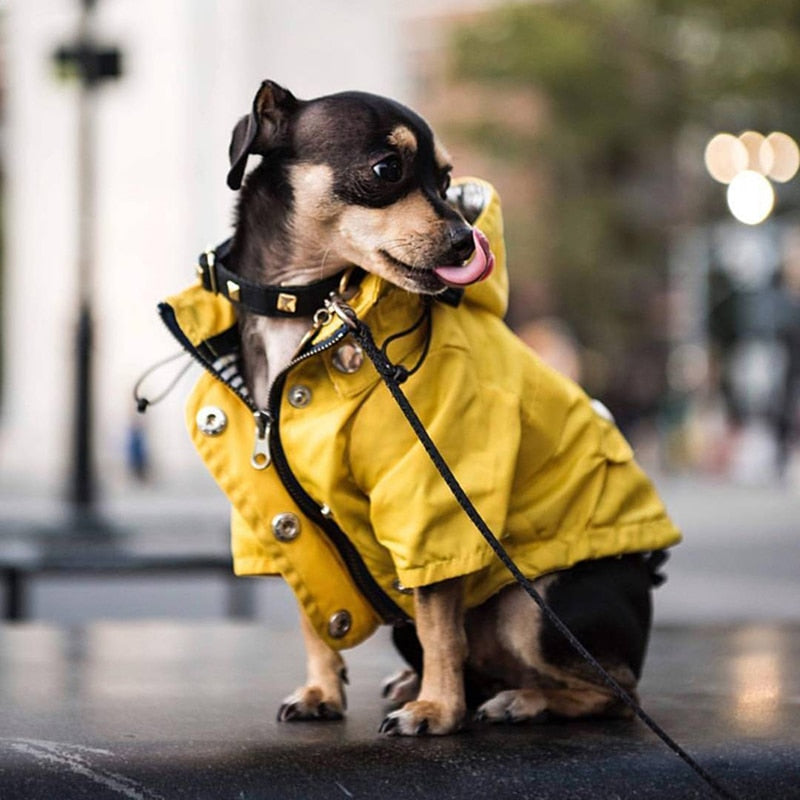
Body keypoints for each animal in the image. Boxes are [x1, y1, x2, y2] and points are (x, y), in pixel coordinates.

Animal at [164, 81, 680, 736]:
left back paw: (520, 700)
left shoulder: (430, 502)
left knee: (612, 689)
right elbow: (316, 616)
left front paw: (436, 709)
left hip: (533, 608)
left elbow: (440, 625)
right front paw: (320, 692)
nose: (465, 241)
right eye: (388, 169)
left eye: (447, 178)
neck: (310, 309)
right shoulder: (294, 520)